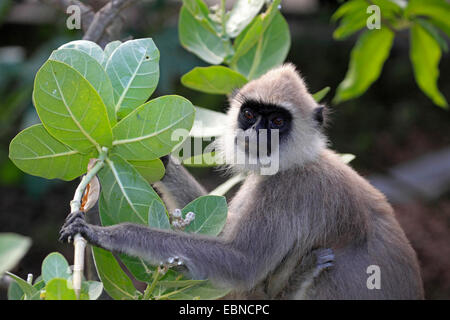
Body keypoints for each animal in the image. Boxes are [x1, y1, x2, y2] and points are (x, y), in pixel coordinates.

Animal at [60, 63, 426, 300]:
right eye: (249, 114)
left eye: (276, 121)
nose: (256, 133)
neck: (300, 160)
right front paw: (161, 161)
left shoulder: (288, 188)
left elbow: (241, 263)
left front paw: (108, 234)